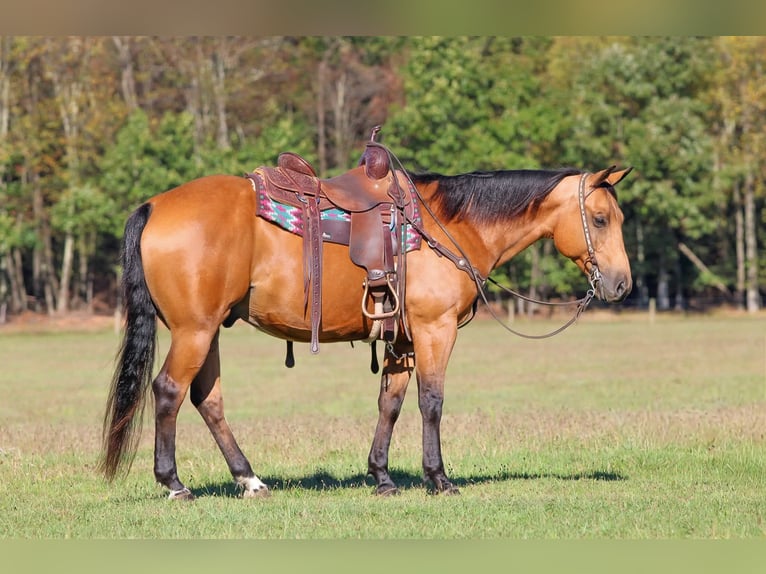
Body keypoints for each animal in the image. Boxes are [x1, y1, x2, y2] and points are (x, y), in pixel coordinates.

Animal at [99, 143, 633, 500]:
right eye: (600, 218)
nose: (622, 284)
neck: (449, 225)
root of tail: (154, 205)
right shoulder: (435, 330)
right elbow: (432, 402)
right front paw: (438, 478)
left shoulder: (402, 338)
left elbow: (389, 404)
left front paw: (382, 476)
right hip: (195, 330)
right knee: (169, 391)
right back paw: (174, 484)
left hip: (208, 331)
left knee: (208, 400)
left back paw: (250, 479)